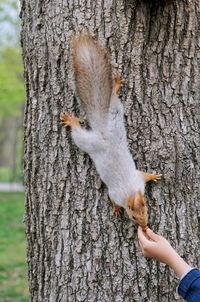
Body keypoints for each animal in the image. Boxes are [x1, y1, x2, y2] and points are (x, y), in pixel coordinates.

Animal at [60, 33, 162, 230]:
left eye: (146, 208)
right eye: (133, 216)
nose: (145, 226)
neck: (131, 190)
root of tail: (103, 131)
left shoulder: (138, 179)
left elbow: (144, 175)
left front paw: (153, 175)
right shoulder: (115, 192)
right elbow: (113, 199)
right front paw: (115, 209)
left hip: (115, 115)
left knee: (113, 99)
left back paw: (115, 85)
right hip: (87, 141)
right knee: (77, 132)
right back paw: (71, 120)